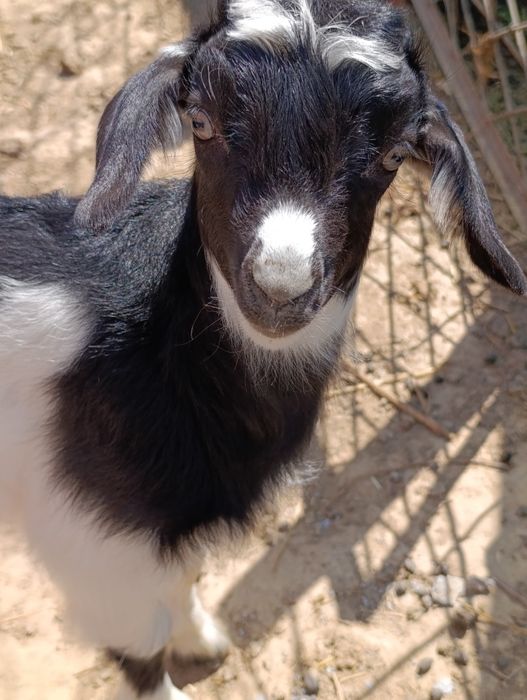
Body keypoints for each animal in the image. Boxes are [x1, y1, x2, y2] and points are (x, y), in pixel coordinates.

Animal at [1, 1, 525, 698]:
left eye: (393, 154)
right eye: (199, 121)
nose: (280, 287)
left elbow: (179, 582)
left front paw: (203, 638)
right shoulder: (91, 540)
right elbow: (142, 643)